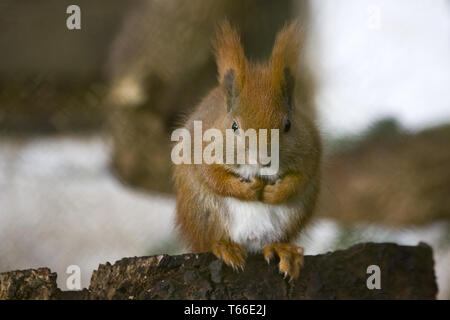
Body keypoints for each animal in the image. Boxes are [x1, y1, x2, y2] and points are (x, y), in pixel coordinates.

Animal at [171, 20, 320, 280]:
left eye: (288, 125)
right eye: (234, 126)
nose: (263, 160)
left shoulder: (311, 148)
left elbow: (301, 178)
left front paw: (275, 193)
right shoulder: (200, 147)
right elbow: (211, 176)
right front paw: (245, 190)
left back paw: (282, 250)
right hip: (202, 211)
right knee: (210, 239)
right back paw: (224, 247)